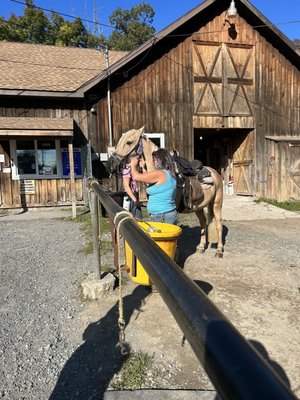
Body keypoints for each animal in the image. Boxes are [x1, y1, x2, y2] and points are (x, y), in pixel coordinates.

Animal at [106, 126, 224, 256]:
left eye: (129, 142)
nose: (110, 164)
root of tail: (214, 172)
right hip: (199, 207)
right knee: (203, 223)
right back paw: (201, 247)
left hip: (217, 204)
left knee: (219, 225)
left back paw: (219, 250)